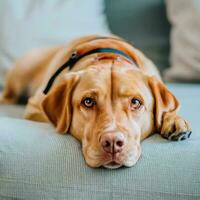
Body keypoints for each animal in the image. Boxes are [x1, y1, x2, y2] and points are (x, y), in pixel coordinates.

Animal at [0, 35, 191, 168]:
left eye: (136, 102)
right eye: (88, 102)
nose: (112, 143)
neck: (108, 56)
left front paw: (174, 120)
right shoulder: (34, 107)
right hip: (21, 74)